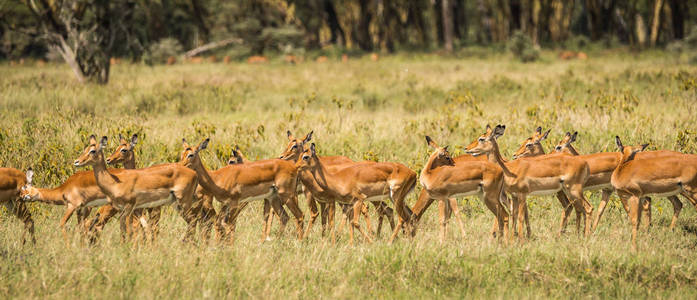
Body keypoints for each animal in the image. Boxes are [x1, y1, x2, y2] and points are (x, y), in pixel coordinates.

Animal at [462, 123, 592, 239]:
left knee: (587, 208)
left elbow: (520, 216)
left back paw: (584, 236)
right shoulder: (514, 196)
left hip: (573, 190)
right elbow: (514, 216)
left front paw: (520, 239)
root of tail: (584, 162)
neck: (509, 169)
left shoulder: (522, 194)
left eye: (481, 138)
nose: (467, 149)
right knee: (577, 208)